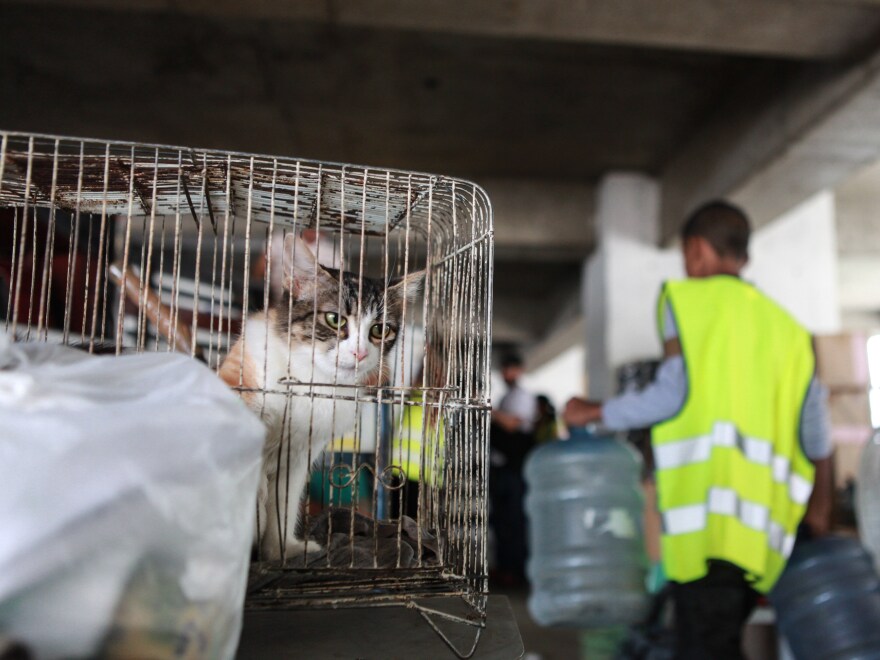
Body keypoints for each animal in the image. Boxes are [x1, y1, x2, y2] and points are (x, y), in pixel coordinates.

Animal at [222, 232, 424, 564]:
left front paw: (281, 551)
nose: (360, 353)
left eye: (380, 330)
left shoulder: (298, 454)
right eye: (334, 319)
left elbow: (283, 506)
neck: (312, 378)